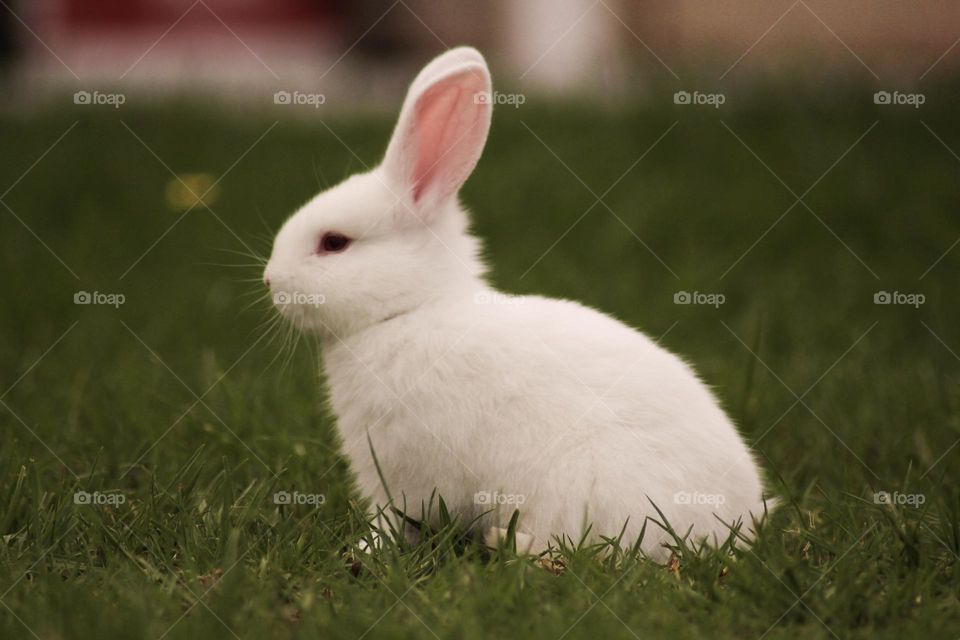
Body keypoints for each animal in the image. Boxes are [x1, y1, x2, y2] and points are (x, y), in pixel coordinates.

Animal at [264, 46, 770, 559]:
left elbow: (393, 519)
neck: (410, 310)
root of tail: (737, 525)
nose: (270, 281)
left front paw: (365, 549)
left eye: (334, 243)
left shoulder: (401, 476)